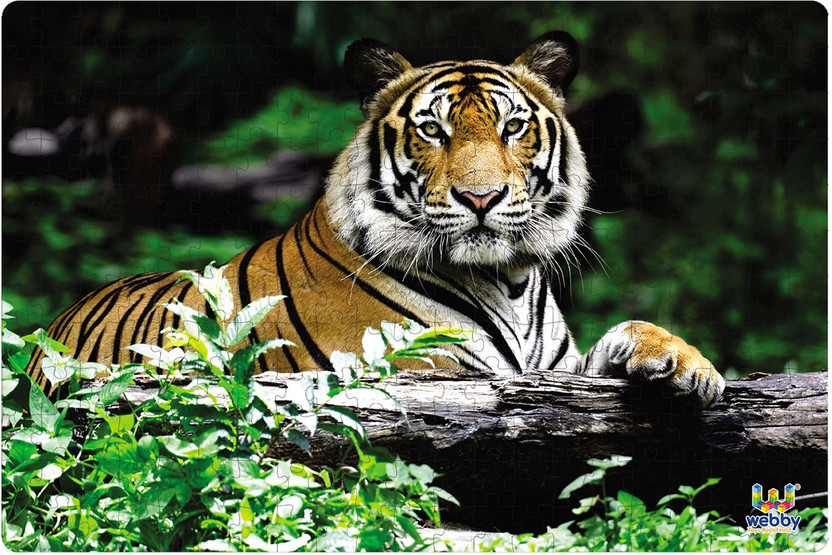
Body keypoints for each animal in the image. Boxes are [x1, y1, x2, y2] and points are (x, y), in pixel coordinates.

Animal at [26, 31, 725, 407]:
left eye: (512, 127)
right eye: (433, 131)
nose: (481, 198)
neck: (508, 280)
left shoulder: (558, 374)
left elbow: (629, 331)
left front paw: (686, 365)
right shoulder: (423, 373)